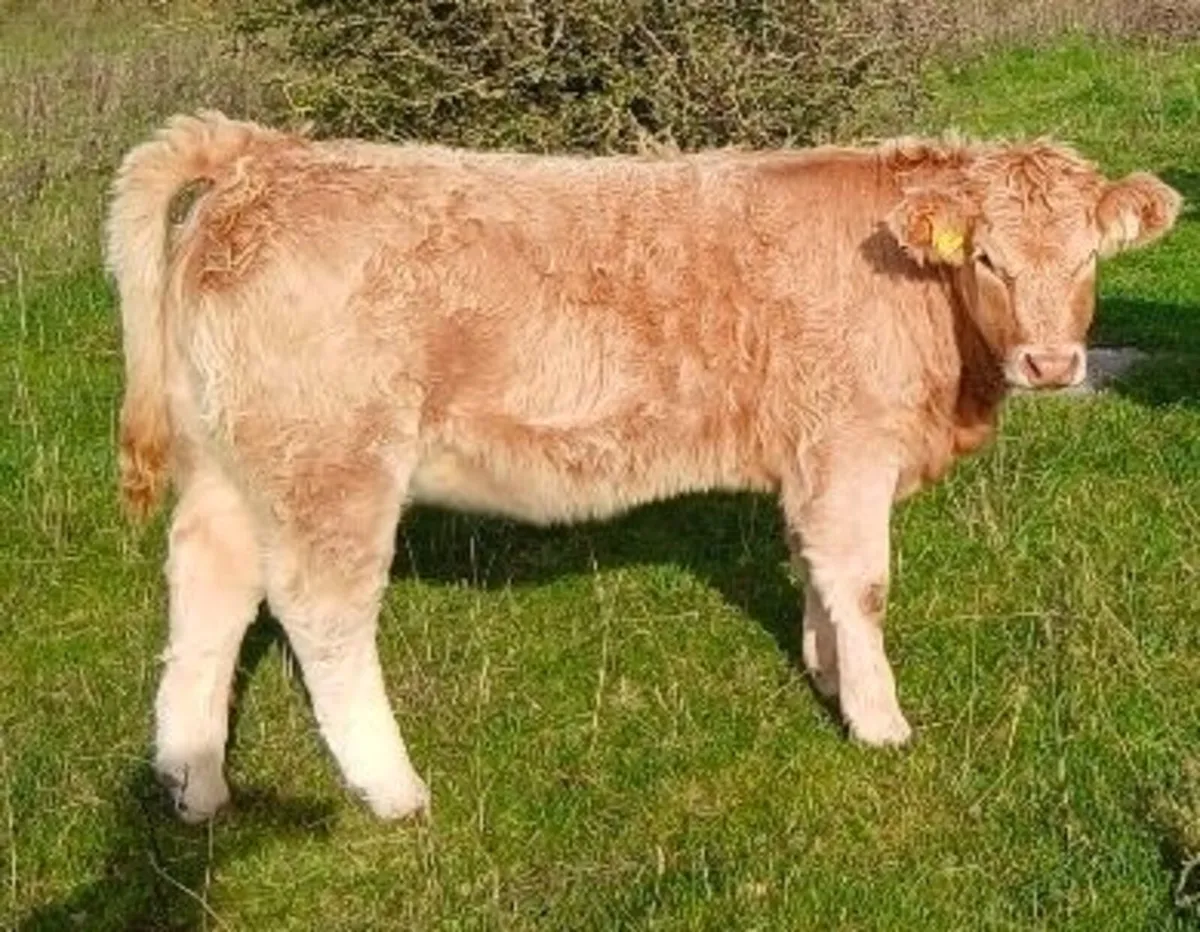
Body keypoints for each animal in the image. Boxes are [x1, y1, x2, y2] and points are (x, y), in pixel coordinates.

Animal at [107, 111, 1180, 822]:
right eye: (989, 258)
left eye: (1089, 257)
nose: (1053, 364)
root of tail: (267, 156)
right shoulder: (849, 446)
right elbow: (863, 586)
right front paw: (878, 721)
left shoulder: (809, 458)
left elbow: (815, 571)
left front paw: (824, 672)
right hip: (335, 463)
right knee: (321, 615)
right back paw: (393, 789)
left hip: (231, 464)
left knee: (206, 591)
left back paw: (194, 783)